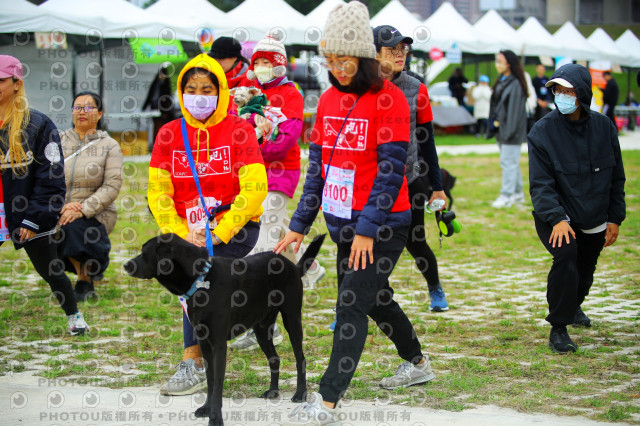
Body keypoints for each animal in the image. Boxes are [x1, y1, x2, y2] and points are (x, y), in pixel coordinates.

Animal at [125, 233, 324, 426]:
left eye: (145, 253)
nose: (125, 265)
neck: (202, 280)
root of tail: (292, 266)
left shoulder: (219, 345)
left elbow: (218, 384)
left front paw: (215, 418)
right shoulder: (205, 343)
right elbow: (210, 380)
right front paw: (206, 409)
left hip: (292, 320)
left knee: (300, 359)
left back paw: (300, 393)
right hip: (261, 329)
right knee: (274, 359)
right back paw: (273, 390)